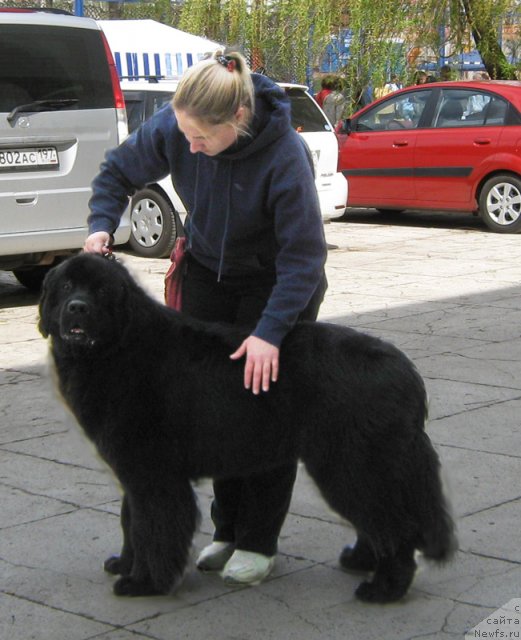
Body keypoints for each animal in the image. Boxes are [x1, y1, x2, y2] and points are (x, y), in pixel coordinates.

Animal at [38, 252, 456, 604]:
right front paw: (124, 564)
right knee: (380, 520)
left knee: (394, 526)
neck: (119, 346)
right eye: (66, 287)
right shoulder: (135, 470)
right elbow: (131, 521)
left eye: (101, 290)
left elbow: (152, 527)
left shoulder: (153, 474)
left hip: (353, 466)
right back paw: (361, 560)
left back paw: (384, 588)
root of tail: (406, 371)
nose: (77, 308)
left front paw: (143, 582)